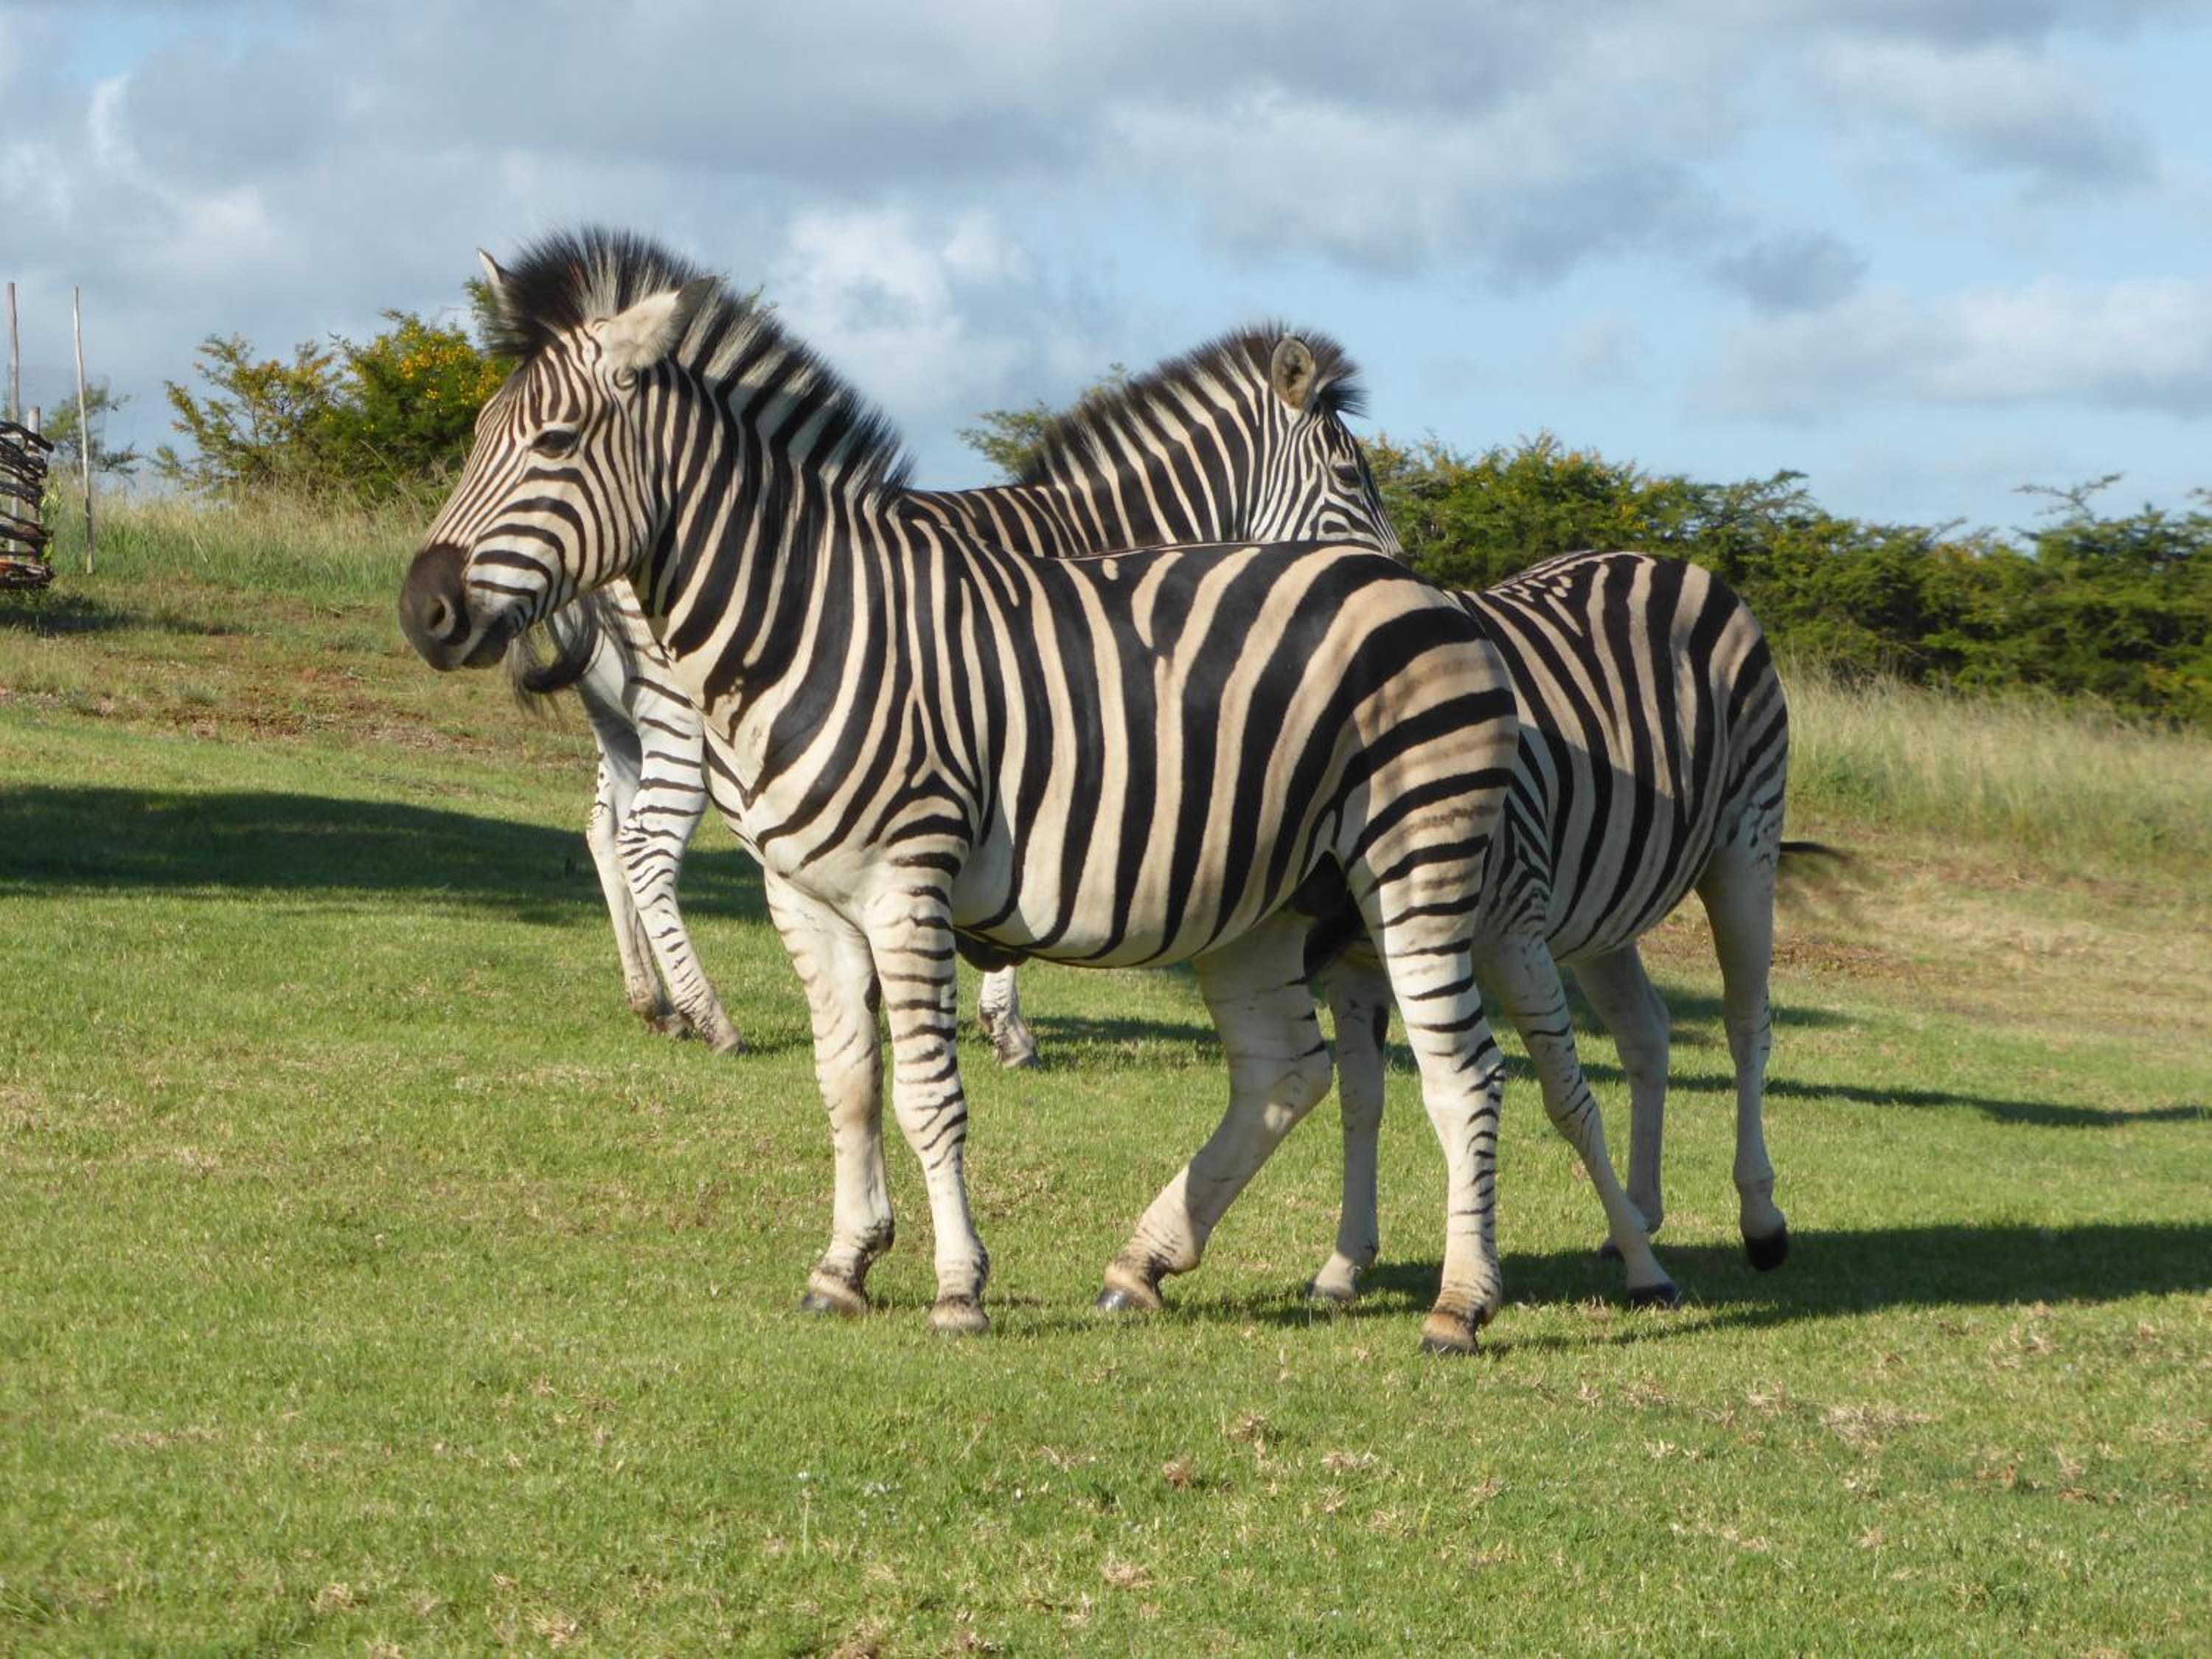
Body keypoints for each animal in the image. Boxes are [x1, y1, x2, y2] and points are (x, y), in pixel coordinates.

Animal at [507, 326, 1405, 1066]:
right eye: (1350, 474)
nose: (1400, 579)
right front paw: (1007, 1029)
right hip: (690, 726)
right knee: (646, 845)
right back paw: (710, 1016)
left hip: (620, 722)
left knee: (603, 831)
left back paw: (652, 1004)